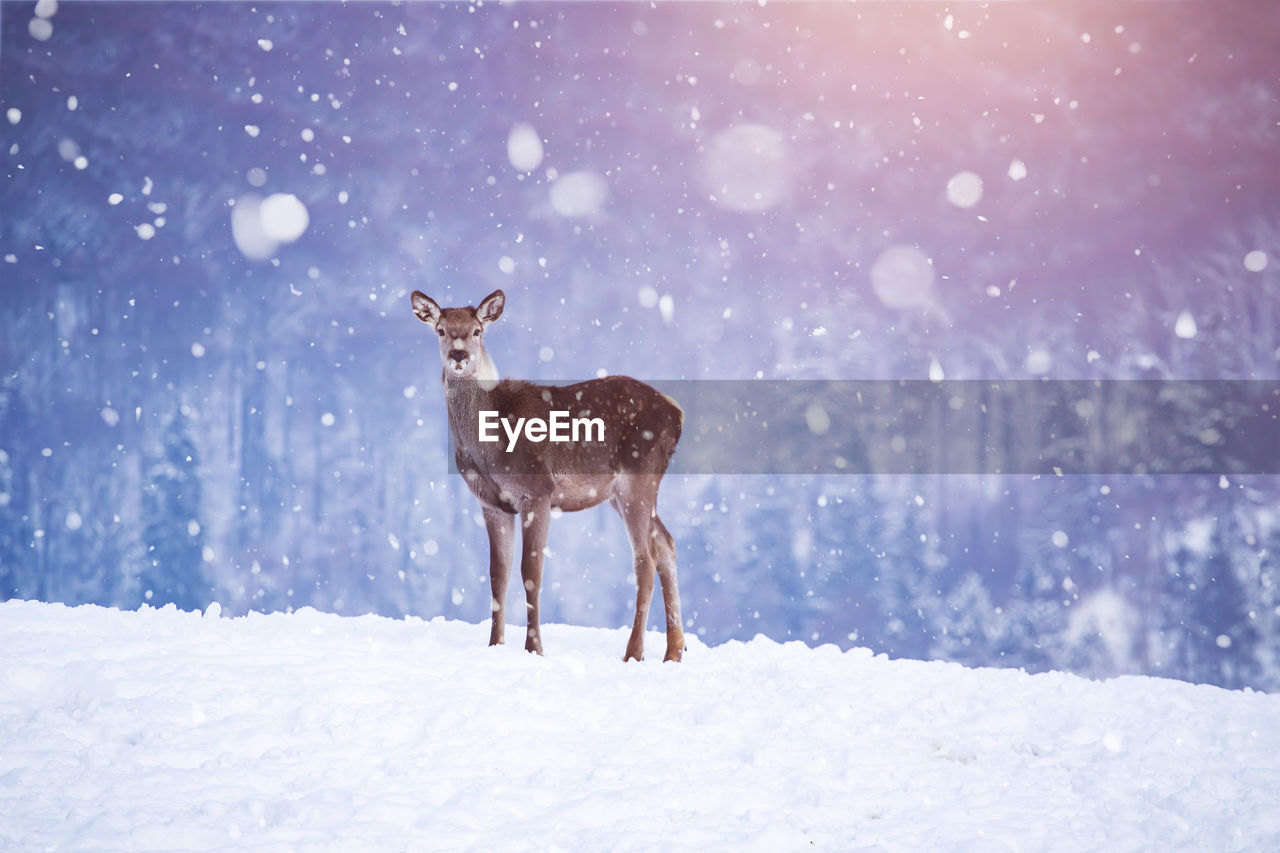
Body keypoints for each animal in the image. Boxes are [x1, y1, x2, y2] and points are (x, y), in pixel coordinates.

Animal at [412, 289, 691, 660]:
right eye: (441, 330)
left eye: (477, 331)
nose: (458, 354)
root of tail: (678, 413)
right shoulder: (492, 503)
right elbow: (497, 574)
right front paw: (495, 645)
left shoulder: (537, 491)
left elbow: (531, 572)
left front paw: (534, 649)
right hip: (618, 494)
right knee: (667, 544)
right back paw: (674, 651)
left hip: (639, 477)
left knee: (646, 556)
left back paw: (634, 652)